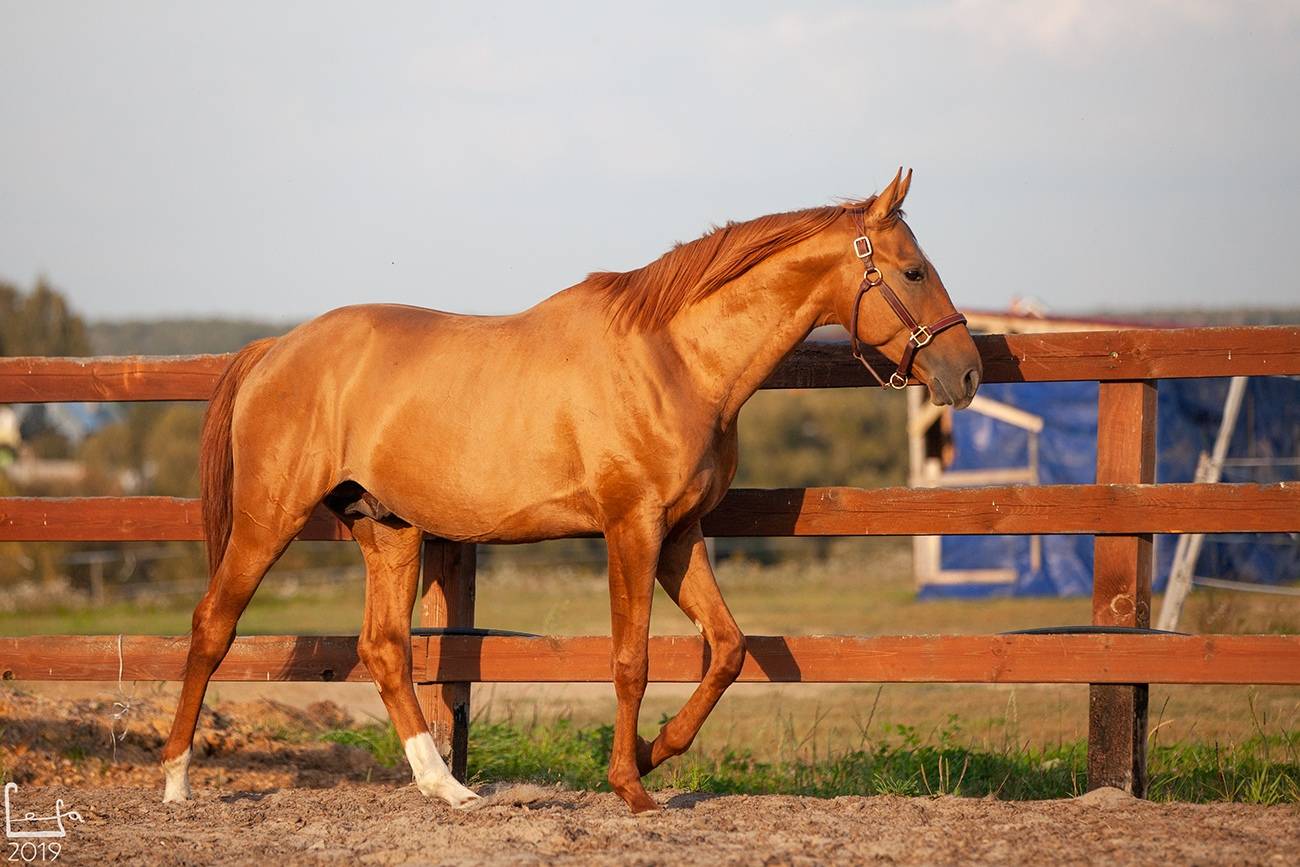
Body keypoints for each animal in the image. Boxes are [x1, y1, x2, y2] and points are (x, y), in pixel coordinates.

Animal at [159, 167, 977, 816]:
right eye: (912, 271)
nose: (966, 373)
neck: (673, 359)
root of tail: (276, 349)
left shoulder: (680, 534)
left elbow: (728, 648)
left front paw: (652, 751)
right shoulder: (632, 528)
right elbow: (630, 658)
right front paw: (631, 786)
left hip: (388, 528)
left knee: (385, 648)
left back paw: (448, 789)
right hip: (268, 520)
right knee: (212, 625)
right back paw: (176, 781)